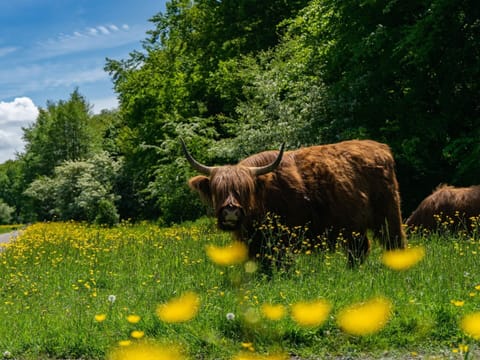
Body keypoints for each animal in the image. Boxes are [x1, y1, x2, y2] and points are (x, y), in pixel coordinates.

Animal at [182, 139, 406, 268]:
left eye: (244, 190)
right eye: (218, 190)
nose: (230, 212)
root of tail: (380, 148)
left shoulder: (284, 238)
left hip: (388, 214)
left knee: (393, 241)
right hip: (355, 226)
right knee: (360, 249)